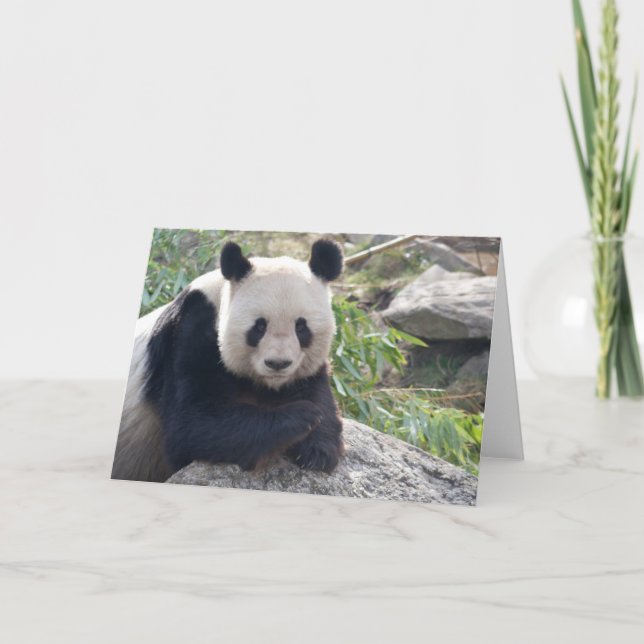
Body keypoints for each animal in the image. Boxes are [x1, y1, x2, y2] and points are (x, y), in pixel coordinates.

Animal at [111, 238, 345, 483]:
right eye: (259, 326)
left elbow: (314, 389)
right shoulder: (187, 333)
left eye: (301, 327)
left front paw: (318, 450)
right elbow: (192, 424)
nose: (278, 364)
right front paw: (303, 415)